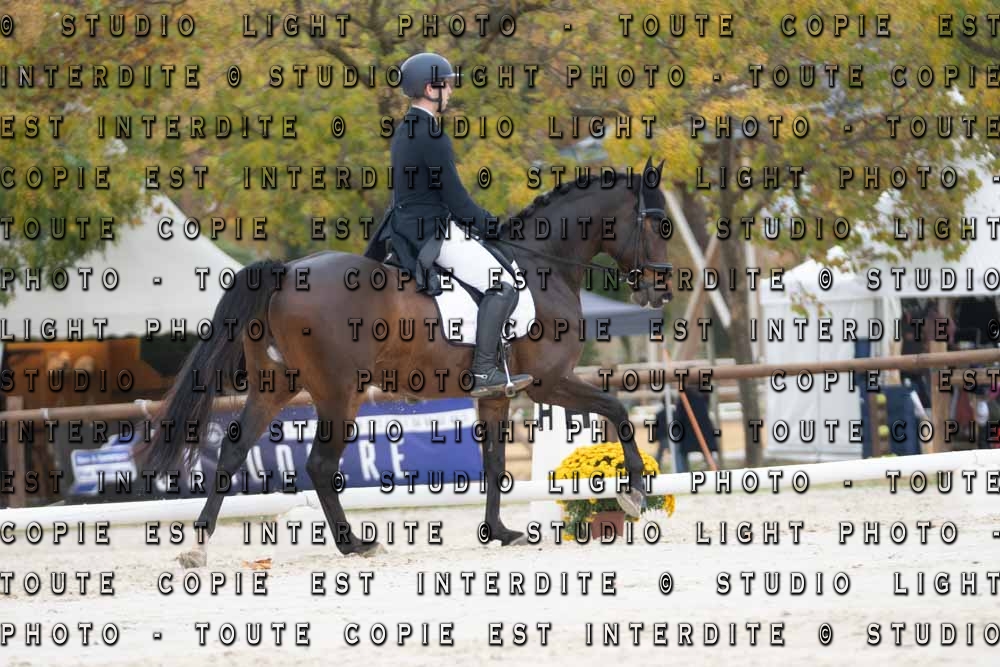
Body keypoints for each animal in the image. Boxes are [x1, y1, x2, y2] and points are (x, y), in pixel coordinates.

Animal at [140, 157, 673, 566]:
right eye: (657, 224)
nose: (661, 291)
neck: (544, 265)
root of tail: (288, 270)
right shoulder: (548, 382)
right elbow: (618, 411)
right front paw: (633, 493)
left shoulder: (499, 393)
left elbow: (495, 460)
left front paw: (499, 531)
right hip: (340, 391)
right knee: (319, 464)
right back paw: (354, 544)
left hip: (276, 385)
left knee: (233, 452)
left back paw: (198, 547)